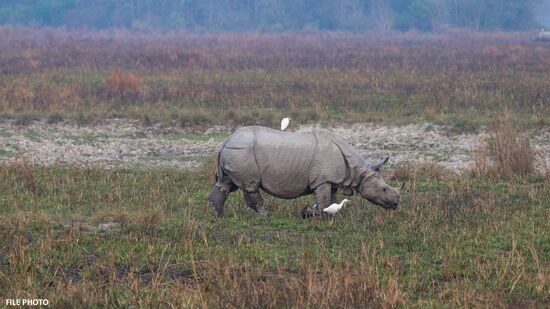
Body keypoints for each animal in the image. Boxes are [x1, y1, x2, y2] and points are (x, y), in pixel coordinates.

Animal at [208, 125, 402, 217]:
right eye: (384, 189)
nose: (396, 203)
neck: (358, 170)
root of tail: (225, 141)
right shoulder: (322, 179)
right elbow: (323, 202)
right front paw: (307, 213)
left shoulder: (332, 179)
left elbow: (331, 200)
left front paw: (329, 214)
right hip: (242, 152)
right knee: (251, 186)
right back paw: (267, 215)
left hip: (235, 152)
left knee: (226, 184)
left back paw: (219, 217)